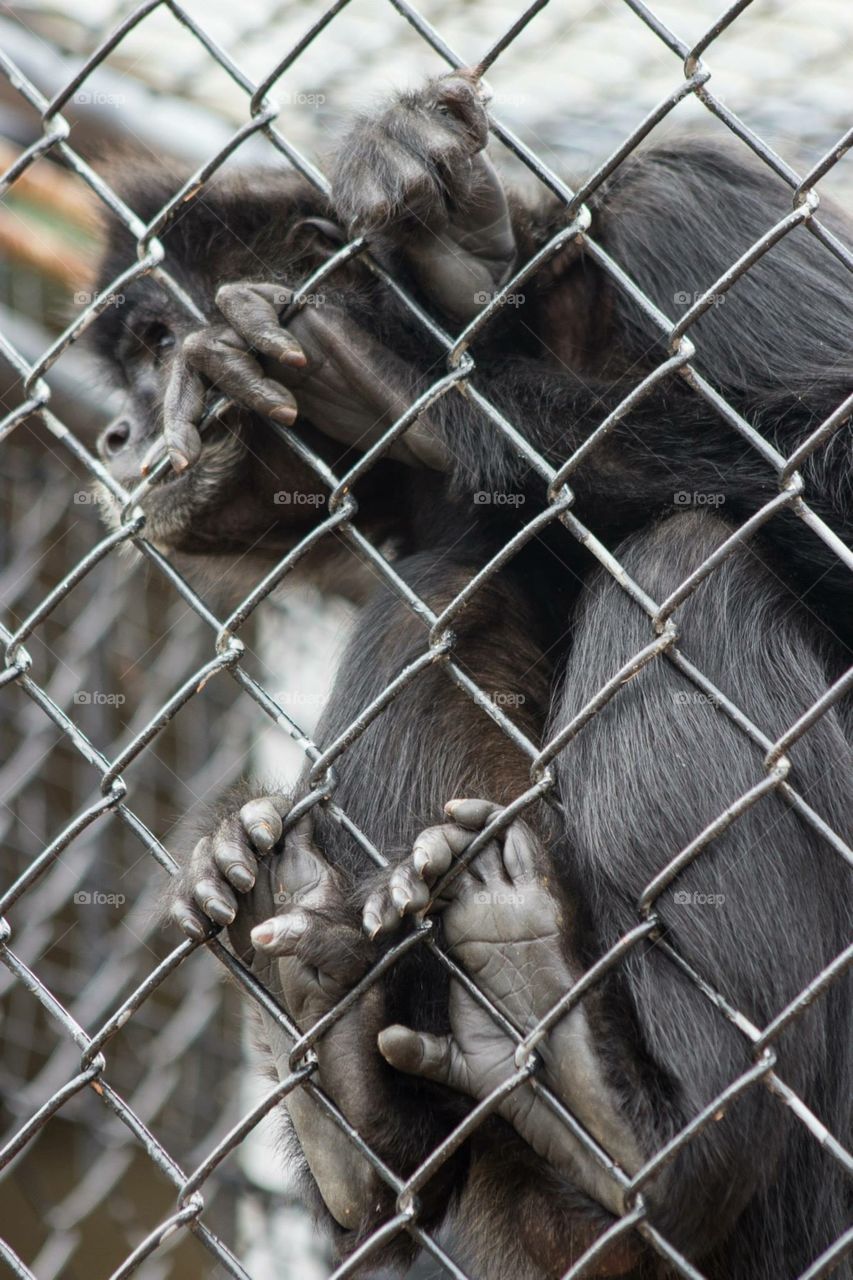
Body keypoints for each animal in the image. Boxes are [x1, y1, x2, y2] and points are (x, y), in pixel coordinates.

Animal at [89, 72, 852, 1280]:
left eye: (160, 343)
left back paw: (637, 1129)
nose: (119, 432)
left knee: (690, 558)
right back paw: (365, 1106)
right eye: (122, 366)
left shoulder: (688, 202)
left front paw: (416, 381)